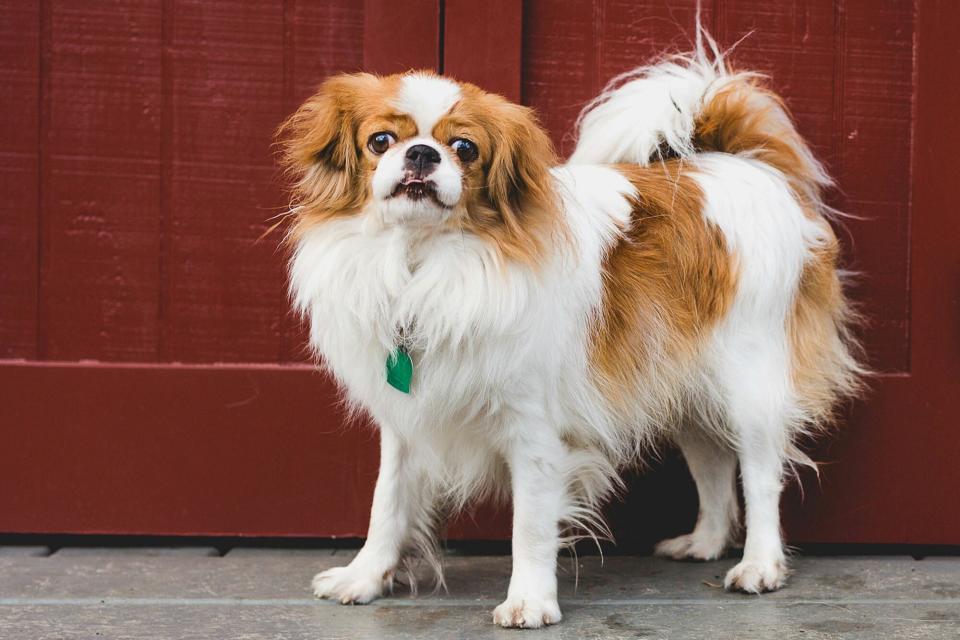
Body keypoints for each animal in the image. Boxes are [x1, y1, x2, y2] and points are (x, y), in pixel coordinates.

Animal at [276, 27, 864, 628]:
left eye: (464, 149)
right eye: (380, 141)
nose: (421, 152)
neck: (423, 262)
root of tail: (750, 167)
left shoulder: (534, 431)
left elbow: (530, 526)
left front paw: (530, 601)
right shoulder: (406, 424)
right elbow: (387, 505)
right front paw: (364, 578)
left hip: (751, 384)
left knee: (761, 476)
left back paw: (760, 566)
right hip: (687, 389)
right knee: (715, 465)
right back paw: (704, 543)